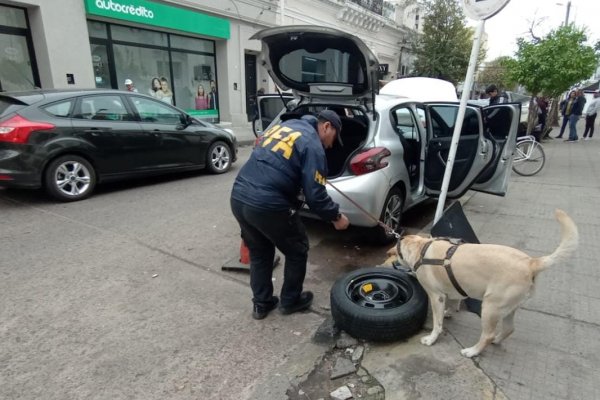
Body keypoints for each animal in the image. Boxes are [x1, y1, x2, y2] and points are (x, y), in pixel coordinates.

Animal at [386, 208, 580, 358]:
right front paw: (449, 312)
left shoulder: (436, 296)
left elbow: (437, 323)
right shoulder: (452, 289)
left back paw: (472, 351)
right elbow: (453, 301)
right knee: (508, 329)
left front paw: (432, 338)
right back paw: (496, 340)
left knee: (487, 335)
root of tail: (531, 262)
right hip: (507, 308)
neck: (421, 248)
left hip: (490, 307)